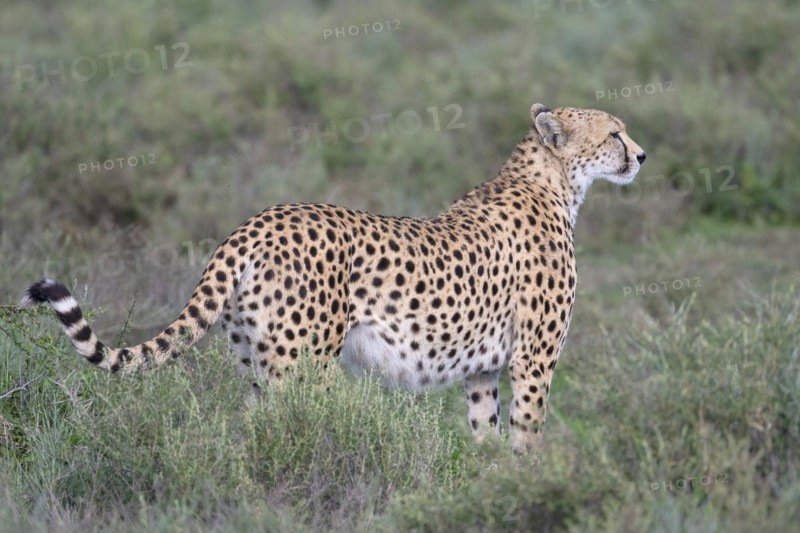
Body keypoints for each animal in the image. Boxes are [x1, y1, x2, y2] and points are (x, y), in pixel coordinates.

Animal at [20, 103, 645, 454]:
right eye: (615, 133)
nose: (641, 155)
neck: (552, 182)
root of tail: (258, 220)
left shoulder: (483, 369)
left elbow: (485, 436)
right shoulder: (532, 360)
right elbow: (527, 438)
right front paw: (530, 486)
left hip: (259, 364)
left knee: (251, 429)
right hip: (306, 366)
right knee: (295, 428)